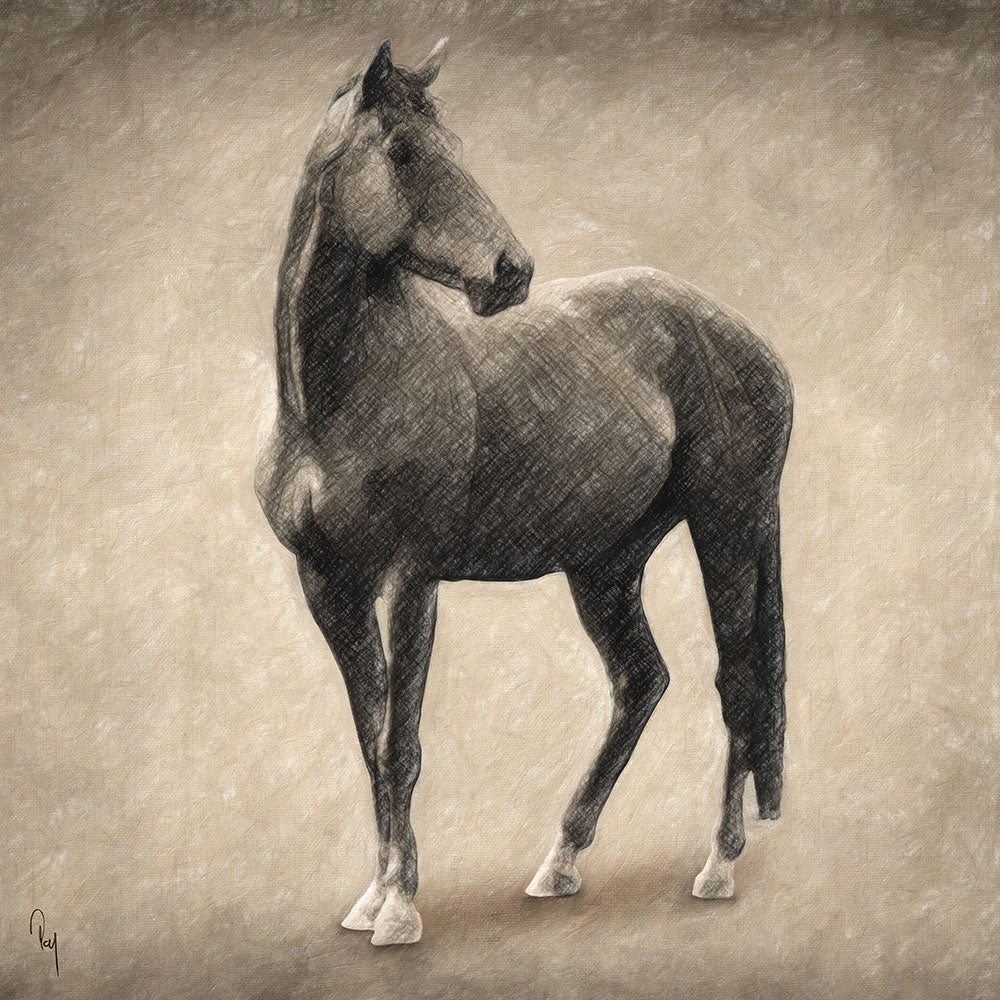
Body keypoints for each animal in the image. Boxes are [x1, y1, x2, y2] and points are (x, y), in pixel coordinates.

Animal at [255, 38, 793, 946]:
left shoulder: (411, 580)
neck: (340, 402)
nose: (512, 271)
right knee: (641, 681)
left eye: (454, 147)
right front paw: (372, 896)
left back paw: (717, 865)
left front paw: (400, 906)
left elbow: (402, 743)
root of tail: (747, 341)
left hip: (727, 527)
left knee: (738, 682)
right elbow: (370, 739)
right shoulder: (330, 585)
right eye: (403, 152)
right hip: (606, 564)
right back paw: (561, 861)